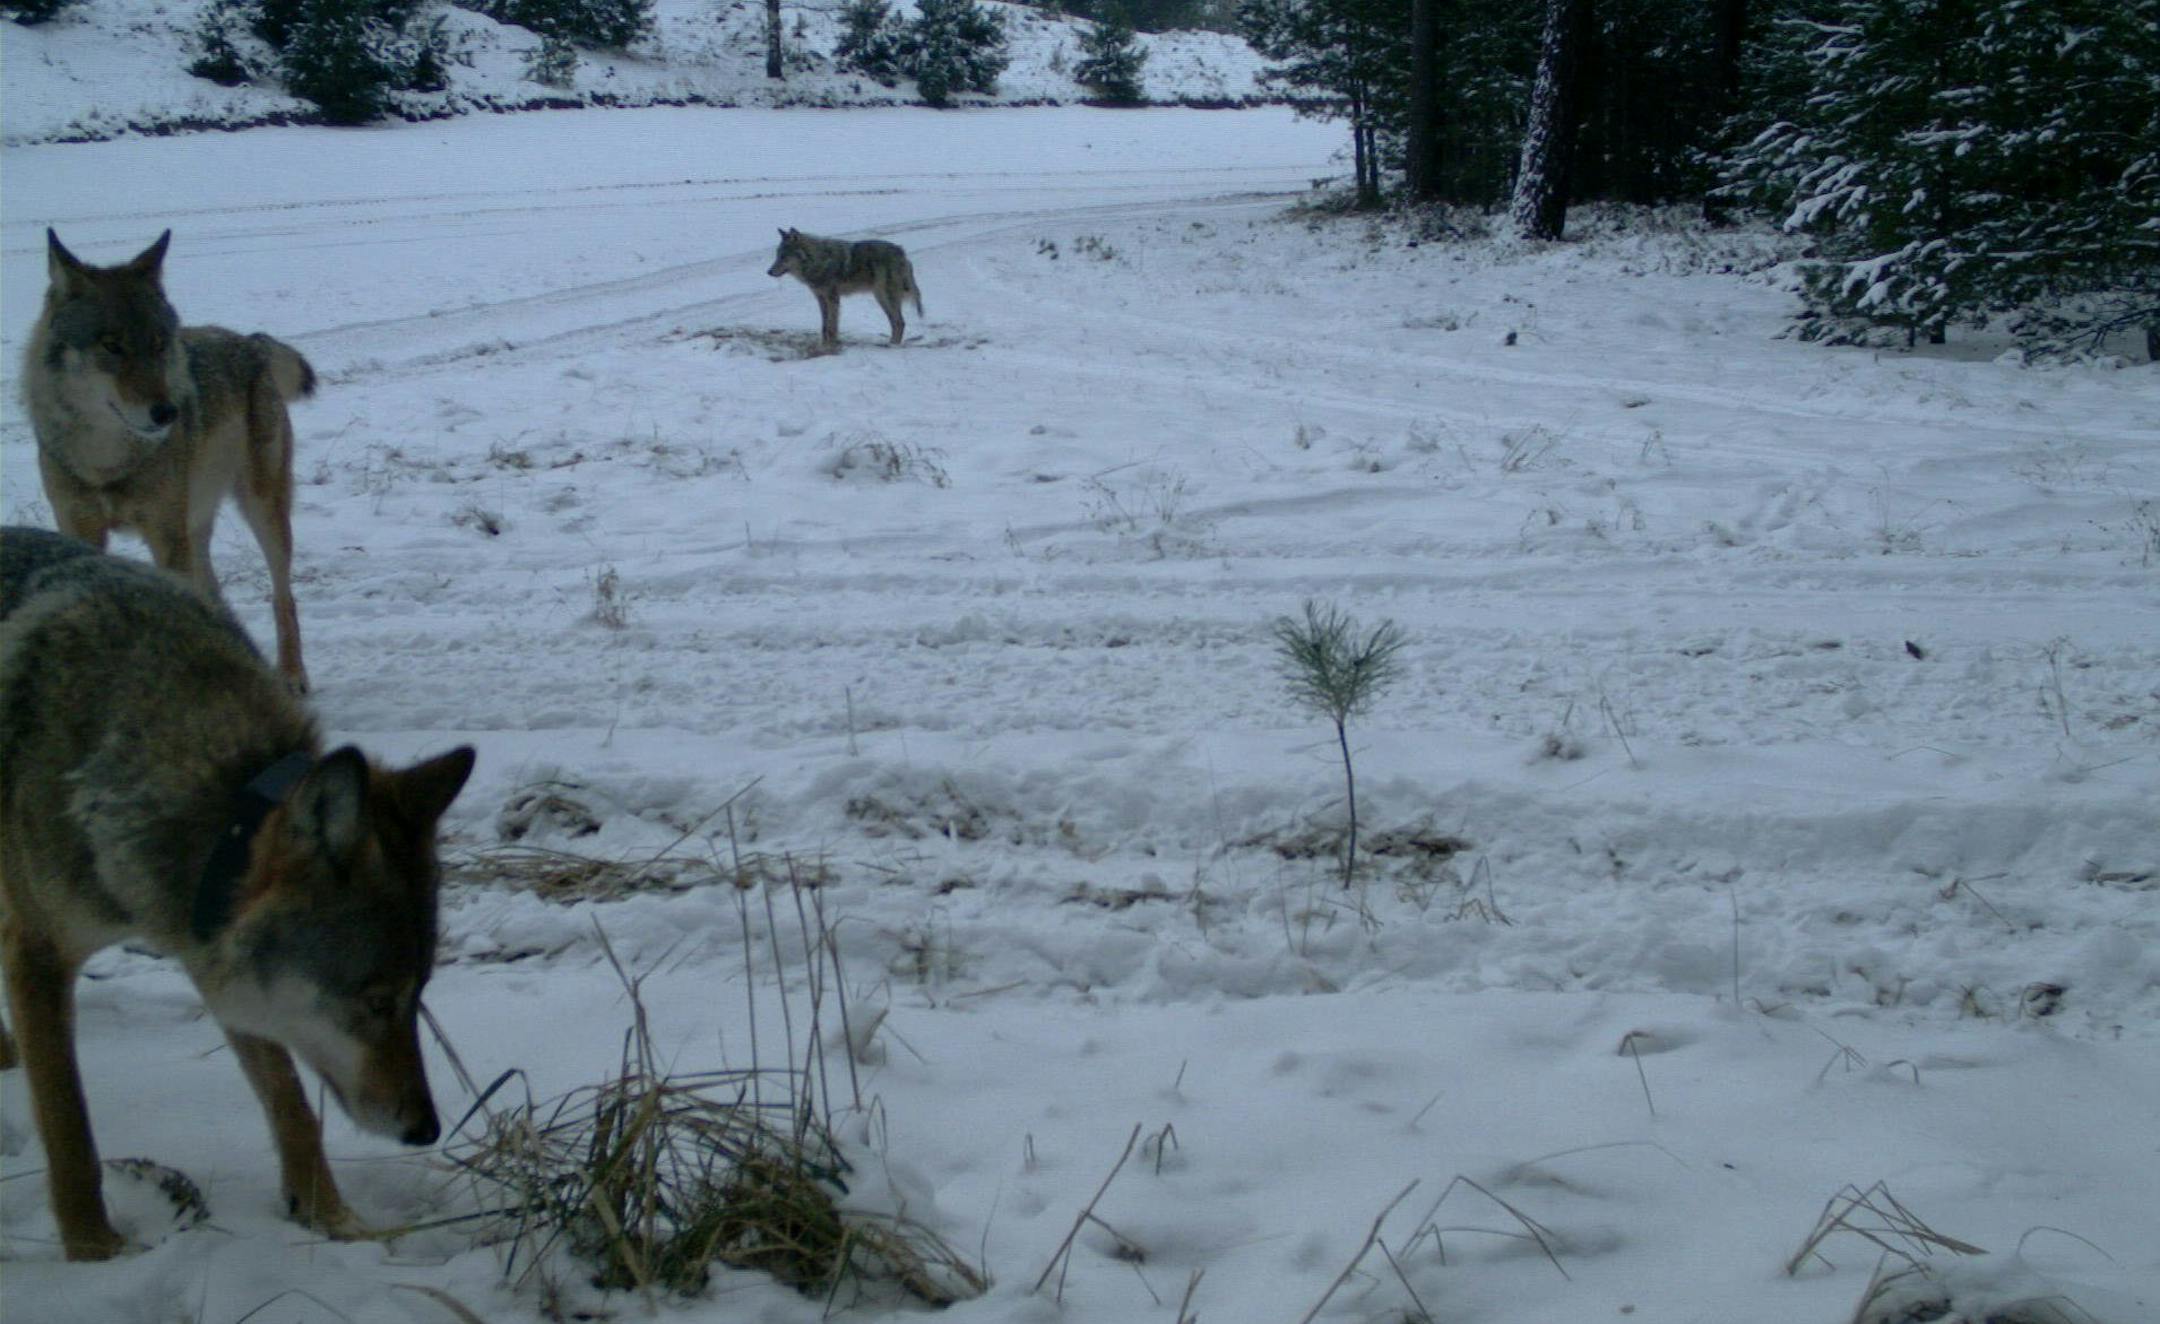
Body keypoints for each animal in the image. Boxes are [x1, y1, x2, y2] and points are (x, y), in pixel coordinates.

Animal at [0, 527, 475, 1261]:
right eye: (376, 1000)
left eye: (419, 995)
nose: (425, 1129)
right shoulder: (40, 955)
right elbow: (70, 1132)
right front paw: (97, 1254)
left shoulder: (207, 949)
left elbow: (292, 1105)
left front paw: (334, 1221)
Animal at [23, 230, 315, 691]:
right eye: (112, 346)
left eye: (159, 344)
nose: (167, 413)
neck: (107, 459)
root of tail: (249, 342)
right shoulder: (80, 528)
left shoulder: (165, 535)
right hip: (195, 525)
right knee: (213, 592)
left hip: (261, 512)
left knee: (283, 595)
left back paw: (290, 675)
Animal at [767, 228, 924, 349]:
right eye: (777, 255)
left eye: (783, 257)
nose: (768, 272)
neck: (818, 261)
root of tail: (902, 252)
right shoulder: (821, 298)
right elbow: (824, 326)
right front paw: (824, 345)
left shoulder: (833, 298)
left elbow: (832, 326)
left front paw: (831, 346)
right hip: (881, 298)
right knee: (896, 322)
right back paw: (890, 343)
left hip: (885, 297)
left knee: (899, 322)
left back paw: (893, 346)